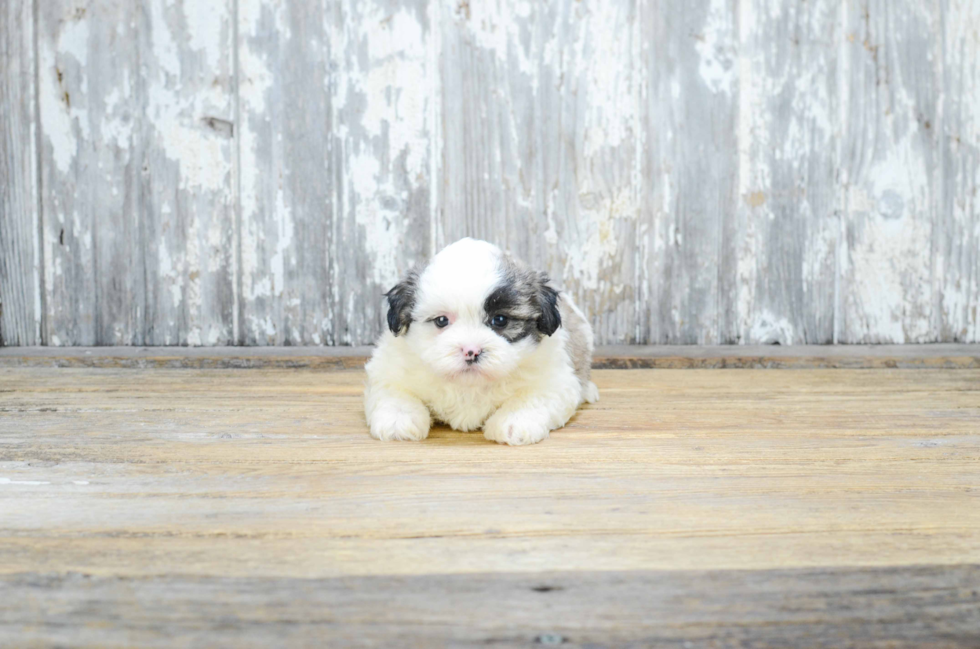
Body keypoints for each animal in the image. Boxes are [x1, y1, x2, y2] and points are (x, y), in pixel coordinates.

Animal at [366, 238, 596, 446]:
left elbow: (532, 397)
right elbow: (395, 392)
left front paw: (514, 421)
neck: (469, 386)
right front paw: (397, 419)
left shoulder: (554, 381)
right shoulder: (389, 370)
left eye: (500, 320)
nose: (471, 351)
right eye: (441, 321)